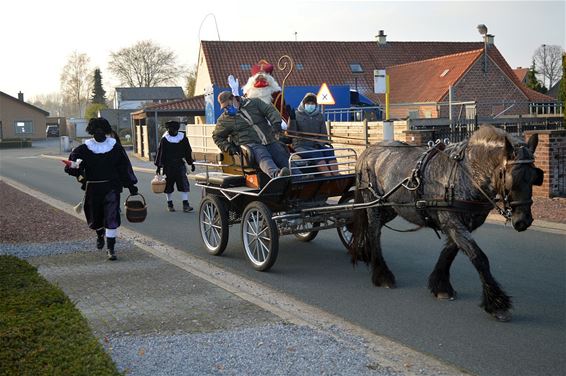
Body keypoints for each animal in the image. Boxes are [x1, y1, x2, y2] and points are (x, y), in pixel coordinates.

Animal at [350, 125, 544, 322]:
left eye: (535, 177)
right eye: (512, 179)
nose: (523, 221)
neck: (467, 173)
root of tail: (369, 151)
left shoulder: (461, 224)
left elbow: (450, 252)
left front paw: (440, 286)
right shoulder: (452, 221)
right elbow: (479, 258)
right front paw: (497, 304)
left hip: (389, 207)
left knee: (373, 231)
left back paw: (367, 255)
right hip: (373, 203)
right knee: (374, 233)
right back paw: (382, 274)